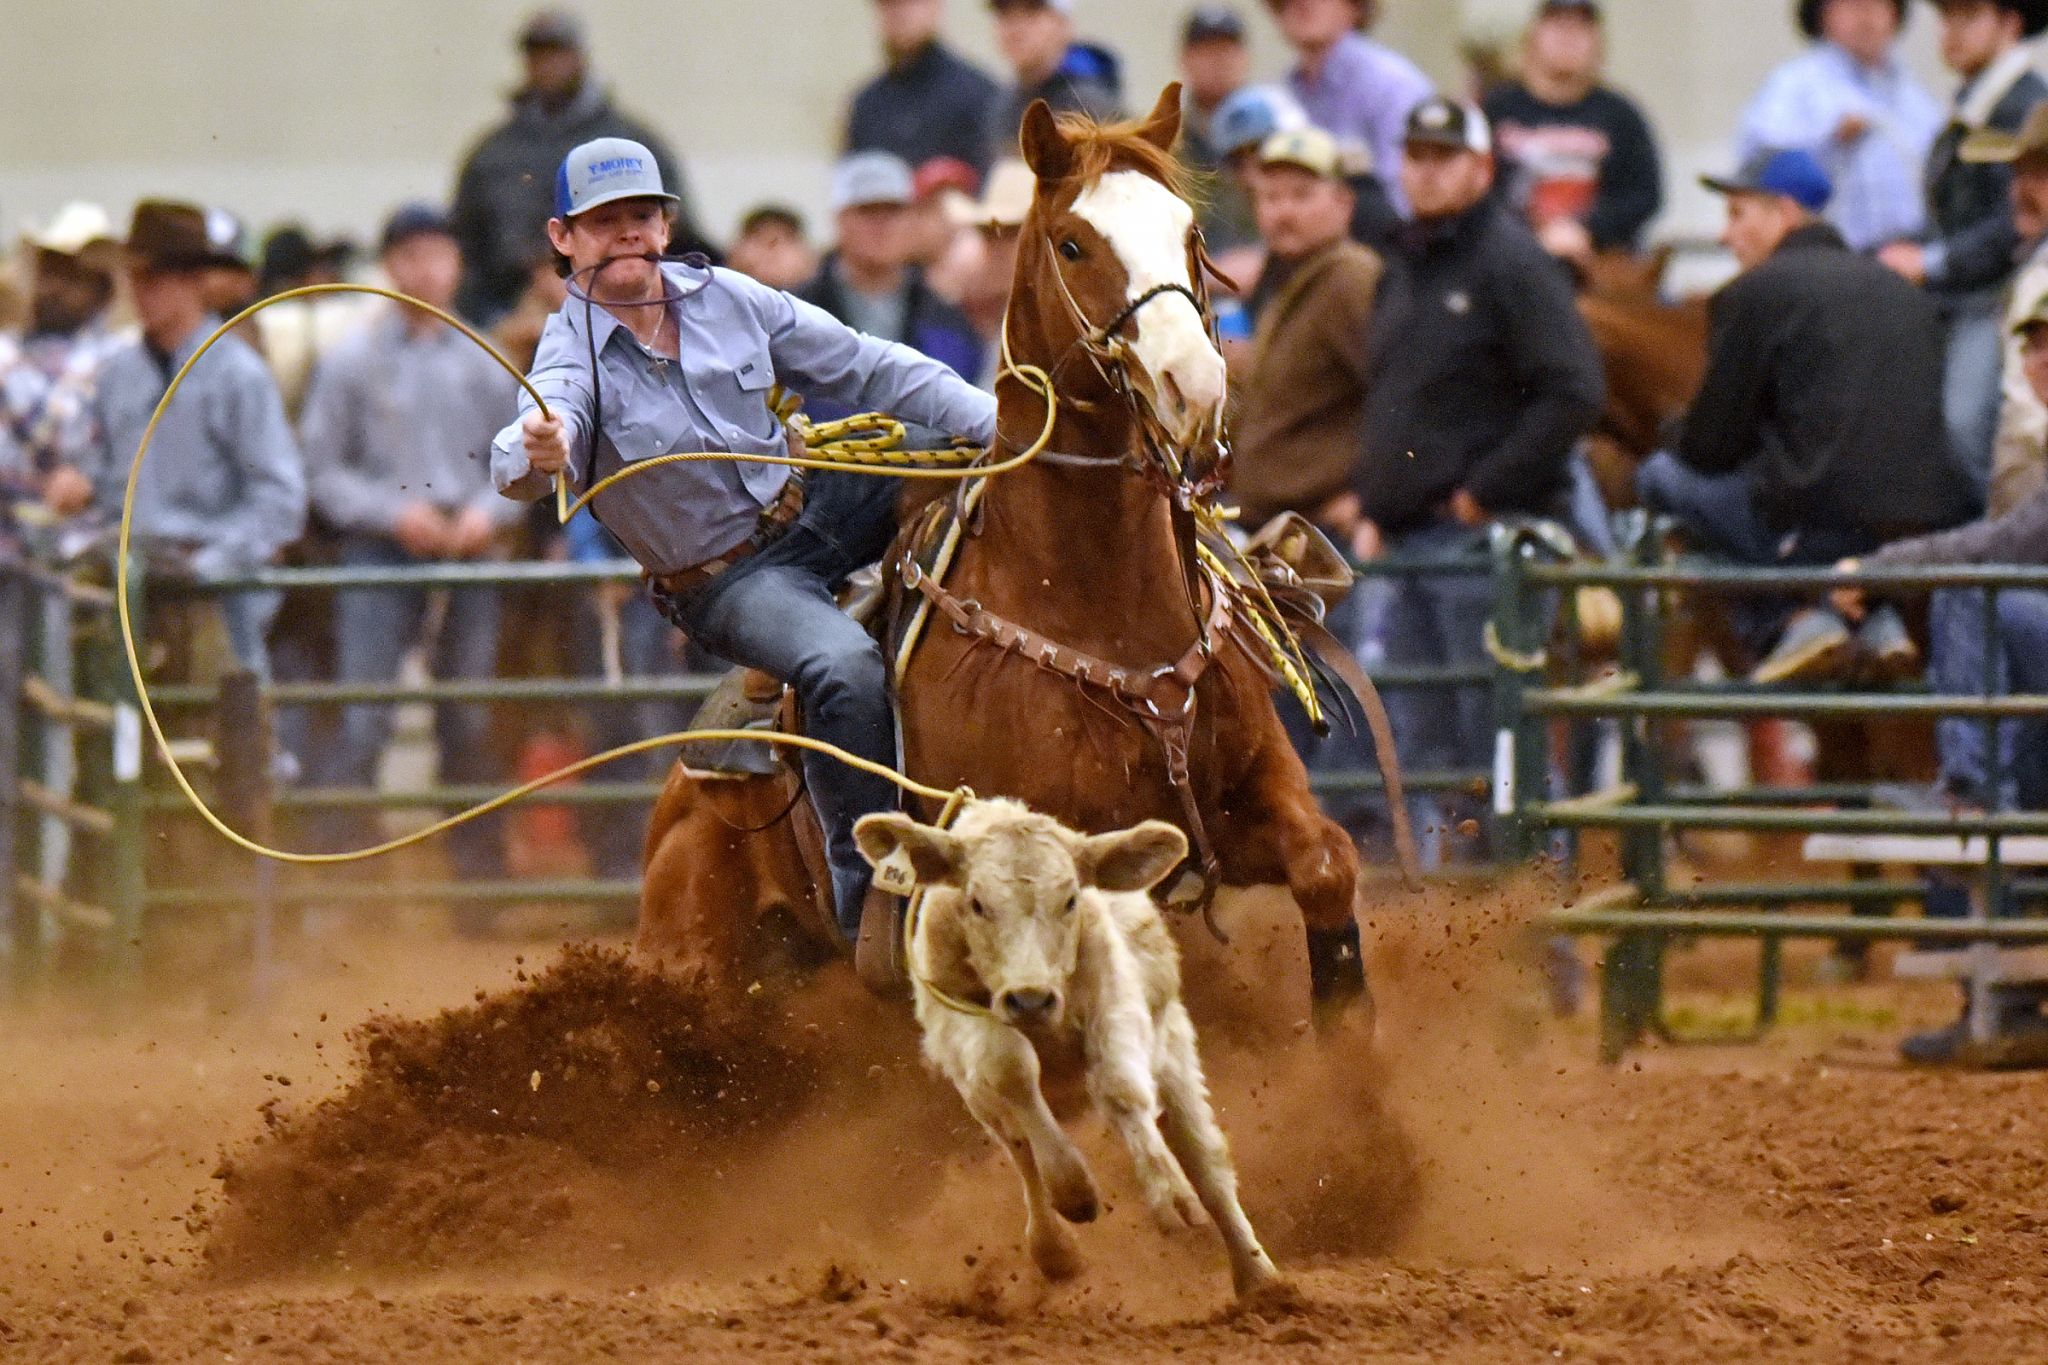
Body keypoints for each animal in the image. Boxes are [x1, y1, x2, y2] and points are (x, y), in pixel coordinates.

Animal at [634, 87, 1376, 1015]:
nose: (1194, 385)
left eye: (1191, 233)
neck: (1098, 609)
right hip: (692, 950)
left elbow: (1326, 866)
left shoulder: (1251, 794)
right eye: (1073, 242)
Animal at [851, 802, 1277, 1301]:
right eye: (976, 903)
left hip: (1172, 1048)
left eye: (1071, 899)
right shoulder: (961, 1022)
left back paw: (1260, 1278)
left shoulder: (1114, 1001)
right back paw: (1053, 1246)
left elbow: (1121, 1089)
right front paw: (1074, 1190)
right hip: (981, 1101)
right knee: (1019, 1149)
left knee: (1205, 1162)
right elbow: (1013, 1072)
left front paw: (1169, 1193)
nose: (1031, 999)